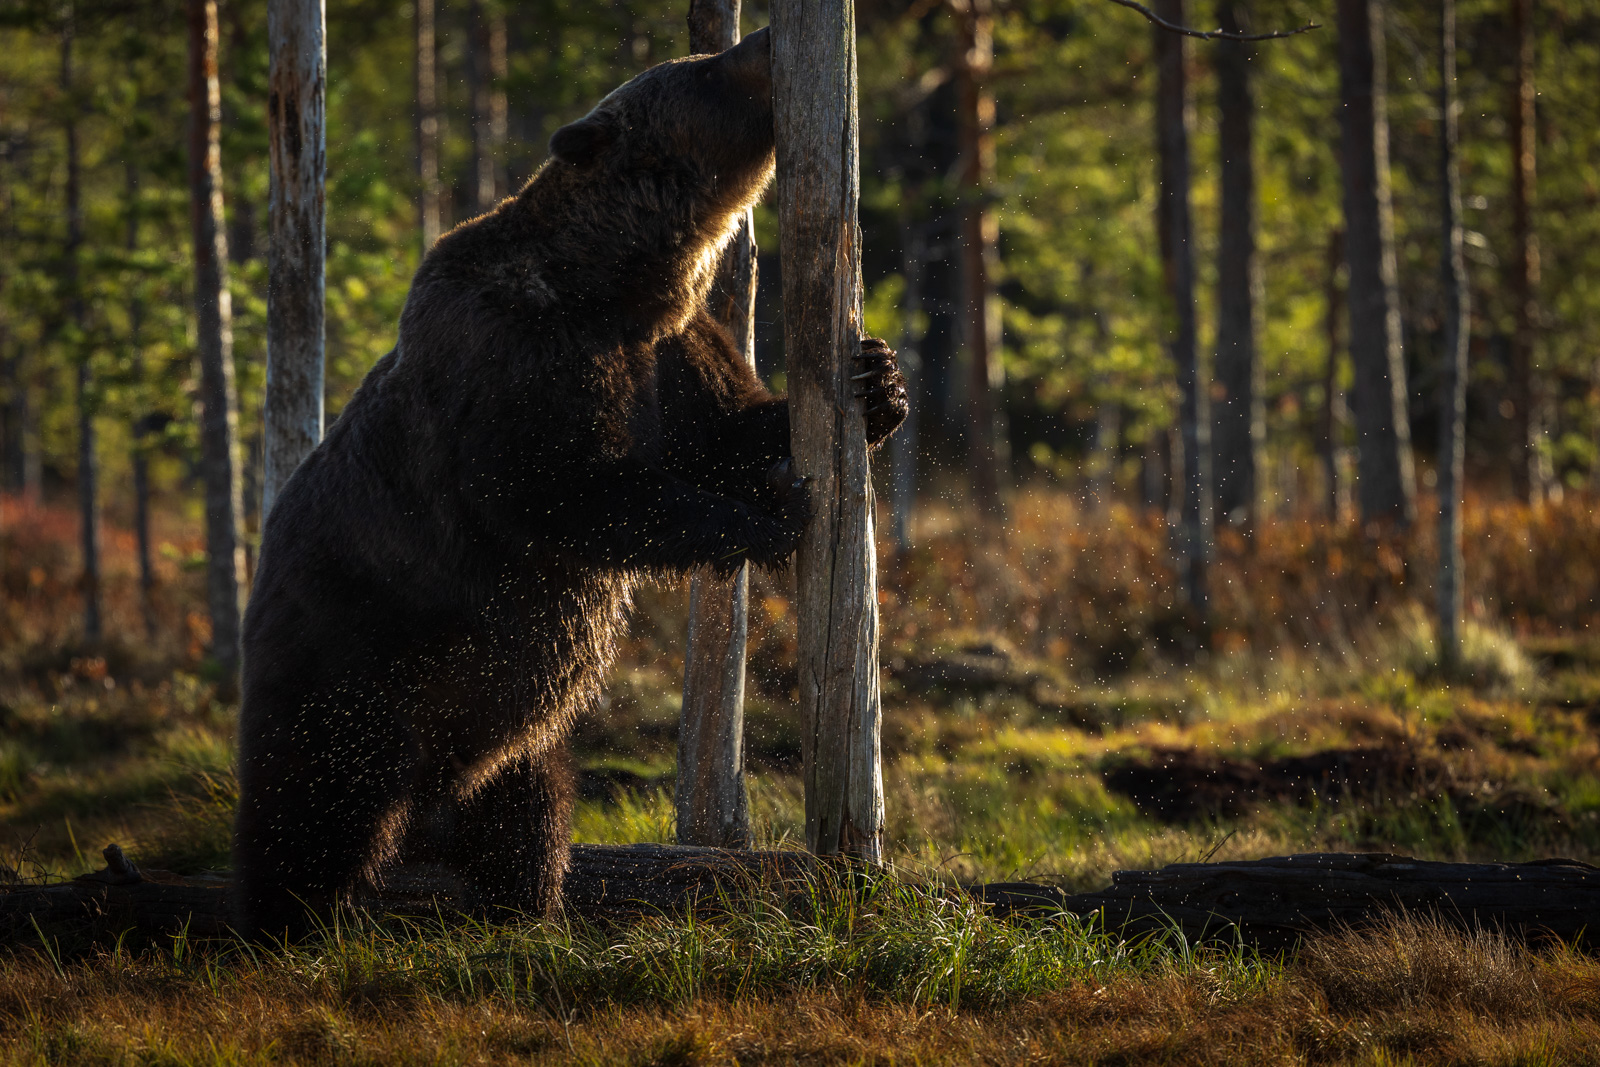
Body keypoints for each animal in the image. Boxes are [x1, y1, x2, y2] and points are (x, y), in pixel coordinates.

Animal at [232, 26, 908, 939]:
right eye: (707, 66)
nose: (766, 36)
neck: (618, 283)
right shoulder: (520, 355)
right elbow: (566, 488)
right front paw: (776, 514)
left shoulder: (671, 351)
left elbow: (725, 432)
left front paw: (877, 380)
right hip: (354, 660)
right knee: (313, 802)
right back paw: (287, 917)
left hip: (503, 724)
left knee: (528, 809)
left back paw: (522, 902)